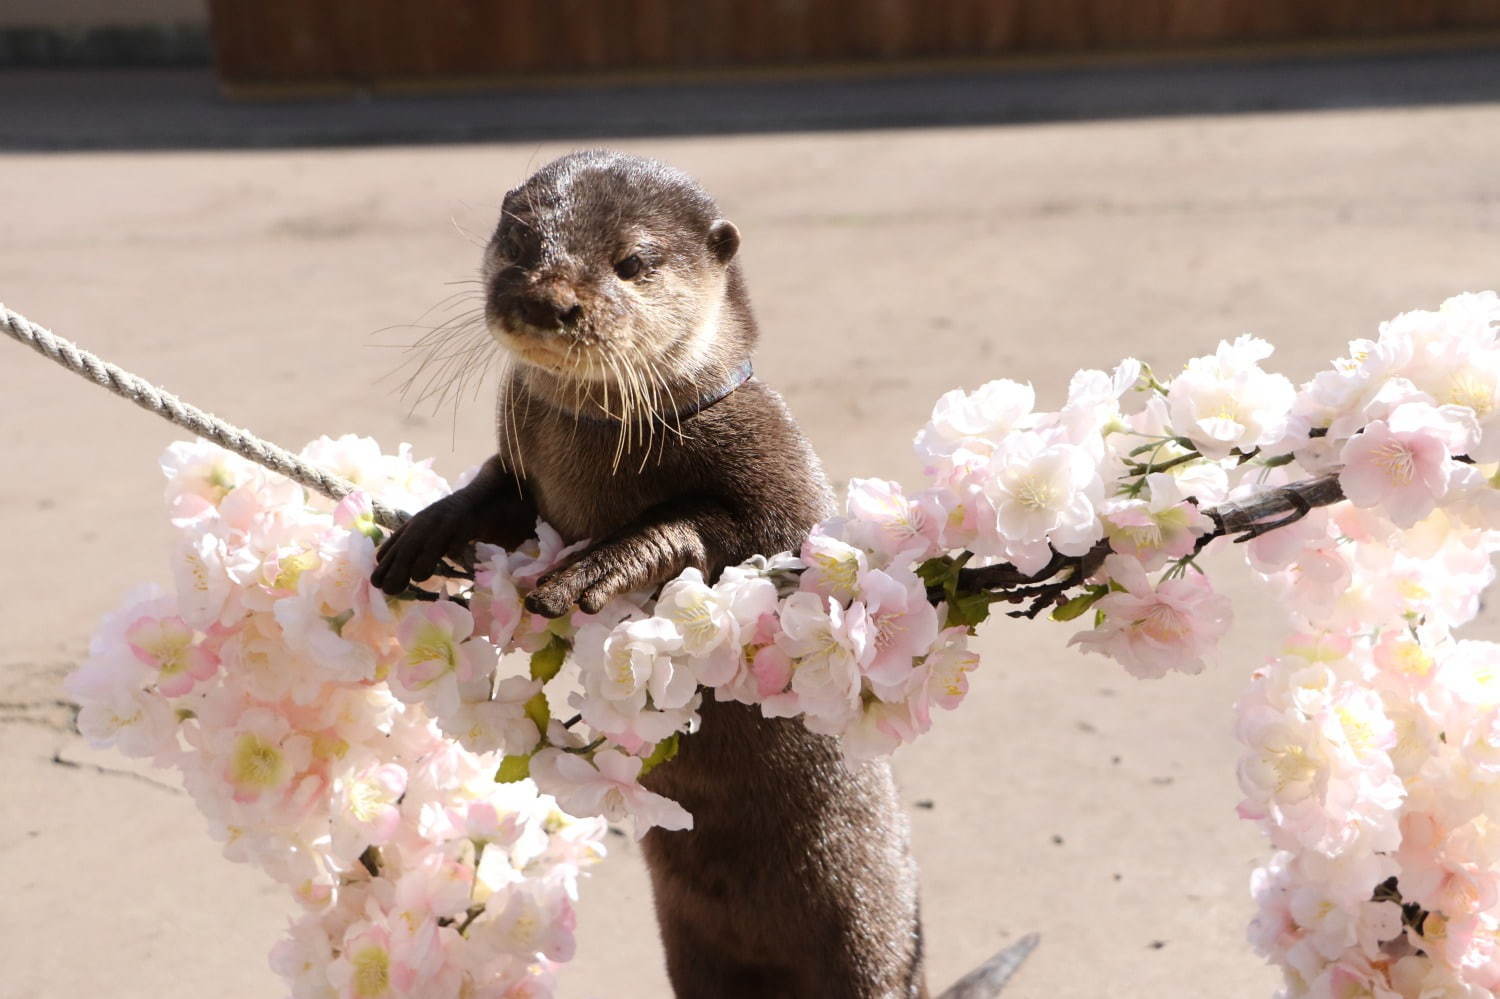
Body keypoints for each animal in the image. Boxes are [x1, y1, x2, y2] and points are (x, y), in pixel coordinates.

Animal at [370, 151, 1014, 990]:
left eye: (633, 262)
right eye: (517, 240)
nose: (547, 298)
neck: (596, 457)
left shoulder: (778, 468)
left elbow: (729, 531)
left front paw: (603, 562)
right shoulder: (521, 458)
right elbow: (490, 492)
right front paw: (429, 529)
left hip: (876, 932)